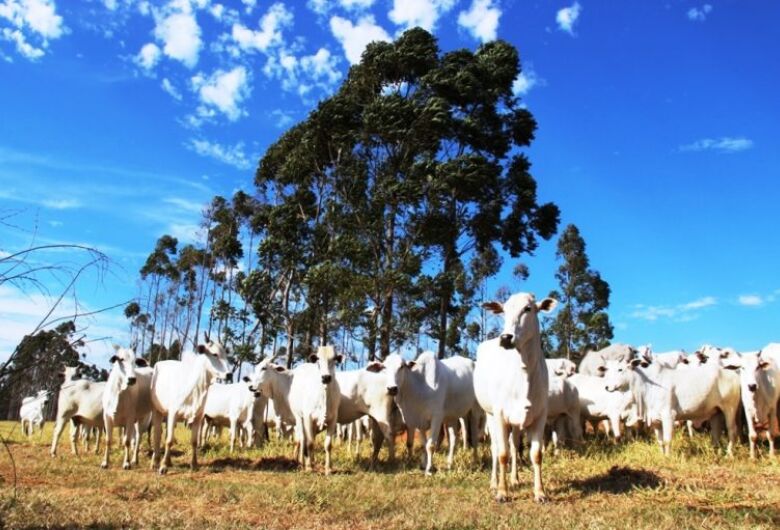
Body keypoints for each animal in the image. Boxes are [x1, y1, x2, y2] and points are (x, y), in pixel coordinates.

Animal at [149, 332, 229, 472]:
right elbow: (169, 440)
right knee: (157, 434)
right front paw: (163, 466)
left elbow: (194, 441)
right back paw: (156, 461)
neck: (195, 387)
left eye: (226, 354)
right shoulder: (173, 413)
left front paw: (194, 464)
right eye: (214, 354)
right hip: (157, 410)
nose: (229, 374)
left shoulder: (198, 417)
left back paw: (168, 461)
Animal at [472, 290, 556, 502]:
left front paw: (540, 492)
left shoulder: (540, 415)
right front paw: (502, 492)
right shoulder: (500, 415)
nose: (505, 337)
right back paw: (494, 483)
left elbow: (536, 454)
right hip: (489, 414)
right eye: (504, 310)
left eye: (528, 308)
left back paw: (515, 479)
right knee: (495, 448)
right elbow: (502, 454)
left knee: (514, 444)